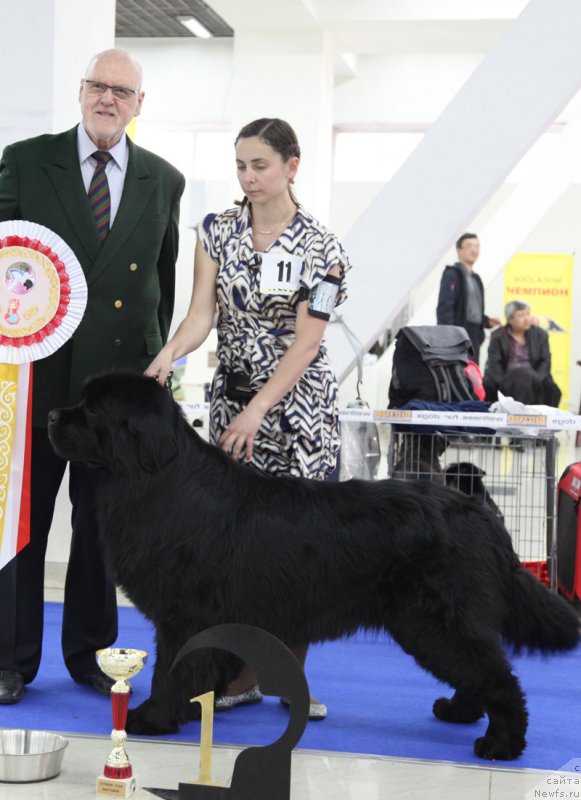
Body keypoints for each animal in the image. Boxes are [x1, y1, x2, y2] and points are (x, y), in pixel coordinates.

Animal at [47, 372, 576, 760]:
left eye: (91, 410)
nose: (51, 413)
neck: (156, 476)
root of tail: (475, 512)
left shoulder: (184, 617)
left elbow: (172, 669)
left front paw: (152, 718)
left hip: (436, 619)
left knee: (496, 675)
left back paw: (501, 744)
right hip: (439, 621)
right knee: (478, 668)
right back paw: (461, 712)